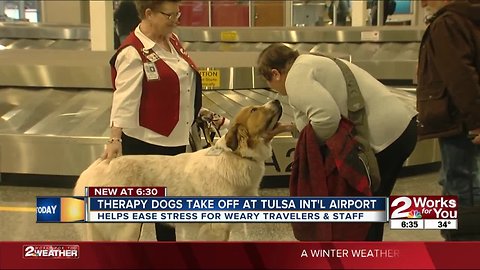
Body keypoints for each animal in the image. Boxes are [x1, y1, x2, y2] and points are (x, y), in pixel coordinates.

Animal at [73, 100, 284, 242]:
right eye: (254, 110)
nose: (277, 100)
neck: (237, 156)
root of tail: (97, 167)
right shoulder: (215, 228)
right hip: (127, 228)